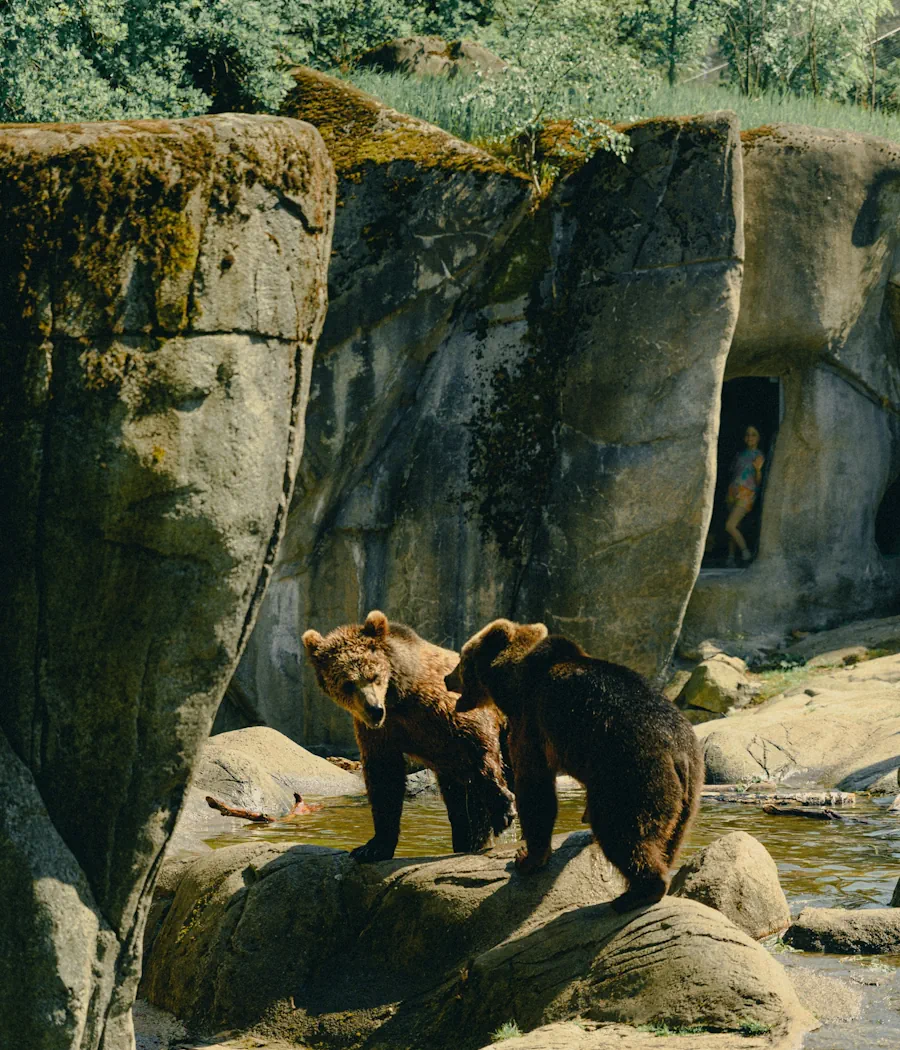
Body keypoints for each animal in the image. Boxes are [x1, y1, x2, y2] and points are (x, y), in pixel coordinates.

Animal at [302, 609, 512, 860]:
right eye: (347, 683)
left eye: (373, 675)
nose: (374, 709)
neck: (398, 697)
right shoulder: (380, 731)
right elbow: (385, 777)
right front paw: (373, 846)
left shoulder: (445, 708)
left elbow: (479, 742)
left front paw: (503, 809)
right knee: (463, 808)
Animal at [445, 613, 705, 911]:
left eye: (462, 658)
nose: (447, 678)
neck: (514, 683)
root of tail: (678, 755)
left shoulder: (533, 721)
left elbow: (535, 788)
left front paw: (526, 858)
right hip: (690, 790)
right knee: (670, 837)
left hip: (634, 769)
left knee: (622, 827)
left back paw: (634, 894)